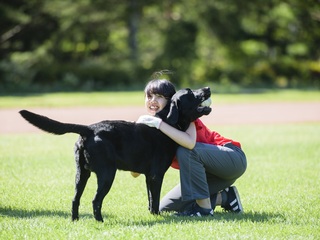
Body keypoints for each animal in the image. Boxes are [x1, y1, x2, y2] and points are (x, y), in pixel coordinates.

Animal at [19, 87, 210, 222]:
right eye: (190, 93)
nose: (208, 88)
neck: (167, 125)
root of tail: (88, 129)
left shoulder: (148, 176)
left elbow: (150, 199)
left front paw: (152, 215)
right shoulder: (156, 175)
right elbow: (155, 200)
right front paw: (157, 217)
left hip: (81, 174)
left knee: (75, 199)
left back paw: (75, 221)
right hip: (107, 174)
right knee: (95, 201)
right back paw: (100, 221)